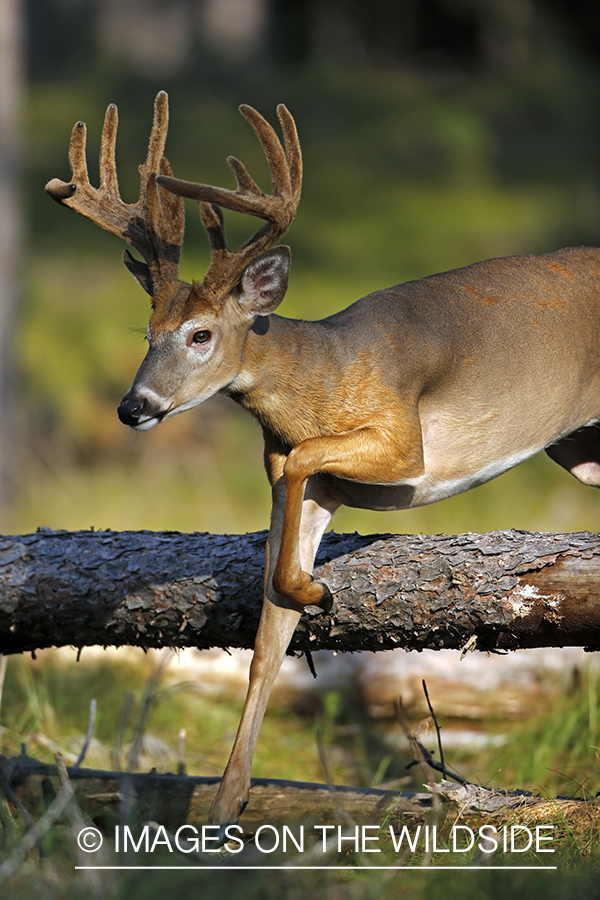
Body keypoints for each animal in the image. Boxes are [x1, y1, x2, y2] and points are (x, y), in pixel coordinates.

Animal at [47, 93, 600, 836]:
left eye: (201, 334)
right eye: (148, 334)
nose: (133, 407)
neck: (322, 373)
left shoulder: (404, 441)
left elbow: (308, 462)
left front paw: (322, 591)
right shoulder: (298, 483)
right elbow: (268, 630)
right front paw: (226, 802)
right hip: (580, 448)